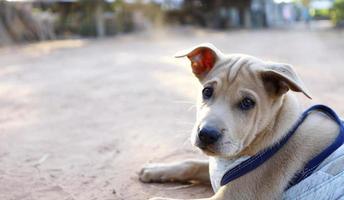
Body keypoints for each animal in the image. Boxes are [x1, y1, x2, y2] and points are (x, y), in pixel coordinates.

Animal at [139, 43, 342, 200]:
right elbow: (190, 164)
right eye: (207, 91)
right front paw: (153, 170)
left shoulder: (233, 195)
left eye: (247, 103)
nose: (206, 134)